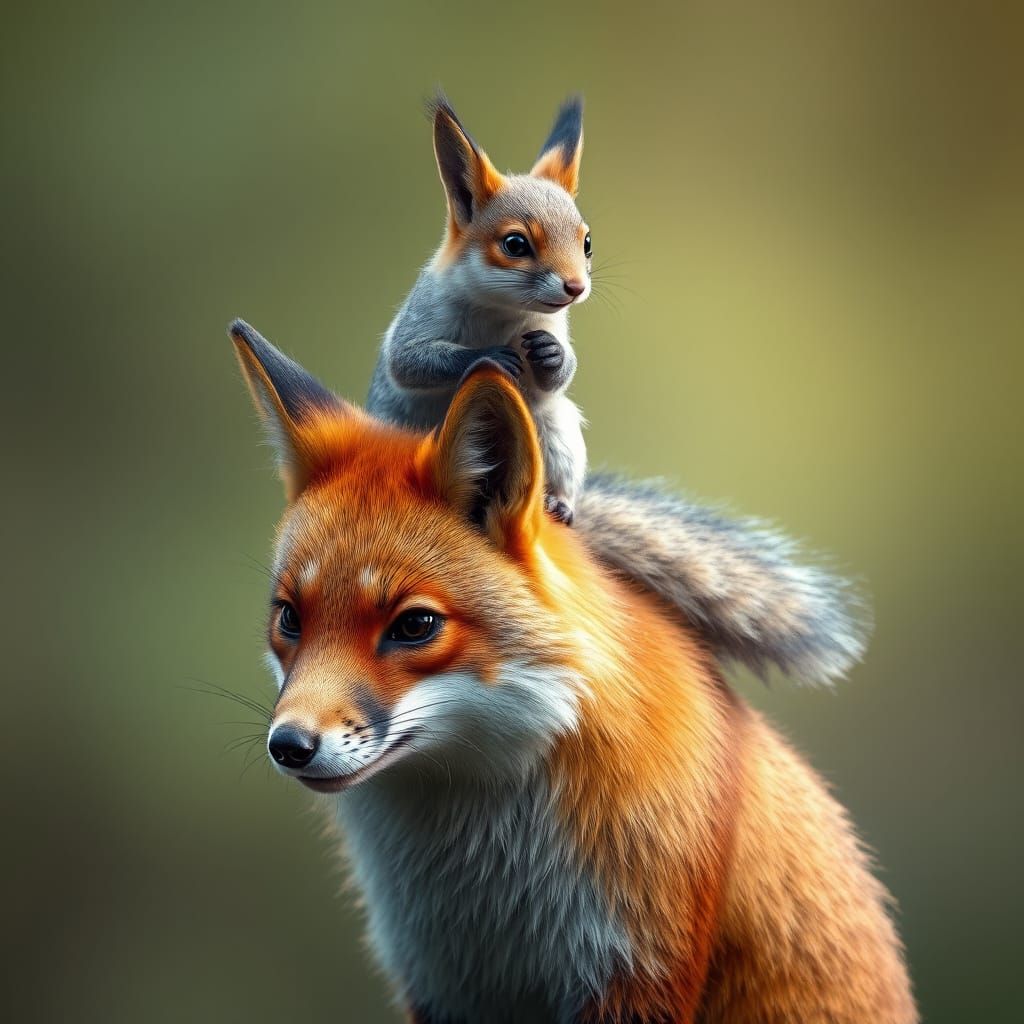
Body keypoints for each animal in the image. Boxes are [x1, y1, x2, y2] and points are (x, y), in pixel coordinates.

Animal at [368, 95, 591, 524]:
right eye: (515, 244)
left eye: (587, 242)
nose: (576, 287)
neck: (502, 310)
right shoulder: (422, 316)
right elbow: (409, 361)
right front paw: (488, 356)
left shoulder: (552, 322)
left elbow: (560, 376)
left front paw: (553, 355)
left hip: (556, 430)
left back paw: (558, 502)